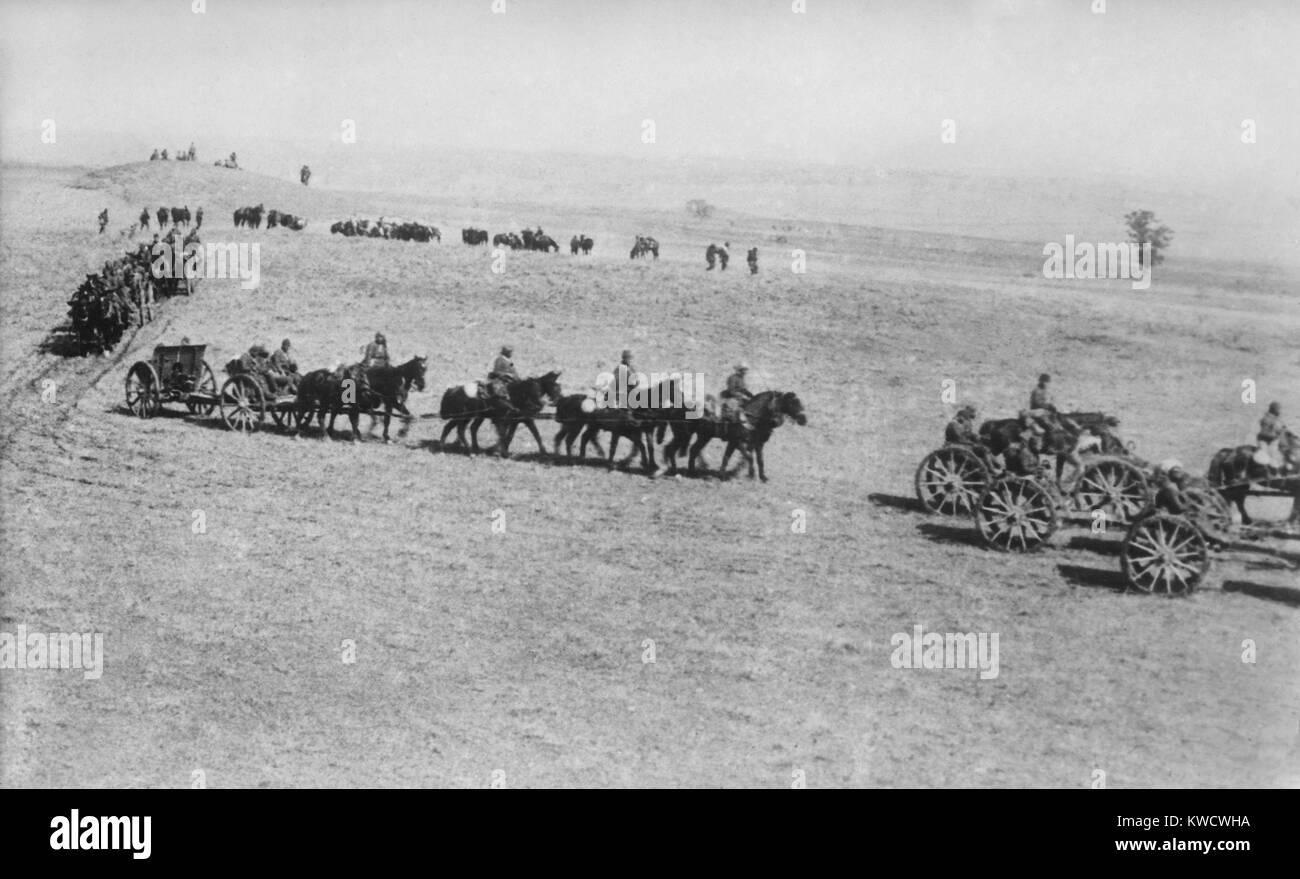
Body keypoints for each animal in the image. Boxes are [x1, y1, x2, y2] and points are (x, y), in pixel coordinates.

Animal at [670, 387, 800, 481]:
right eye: (779, 404)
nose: (777, 422)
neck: (747, 418)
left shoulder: (743, 443)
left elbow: (753, 459)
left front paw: (762, 477)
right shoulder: (738, 443)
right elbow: (749, 457)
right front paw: (751, 474)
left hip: (704, 437)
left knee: (693, 450)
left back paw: (692, 472)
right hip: (683, 435)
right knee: (672, 449)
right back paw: (675, 472)